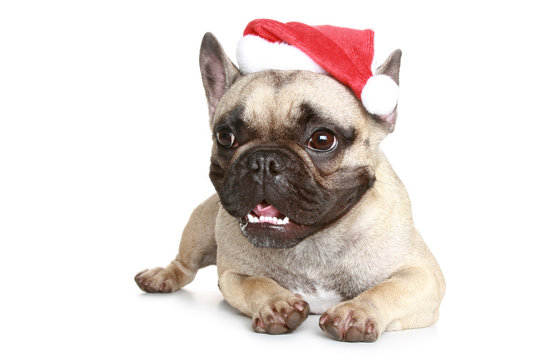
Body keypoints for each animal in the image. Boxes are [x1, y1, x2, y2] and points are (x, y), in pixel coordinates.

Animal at [134, 29, 442, 342]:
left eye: (322, 139)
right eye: (225, 137)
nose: (264, 161)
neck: (311, 242)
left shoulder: (424, 276)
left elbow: (388, 289)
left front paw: (357, 311)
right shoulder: (232, 274)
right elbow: (254, 283)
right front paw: (275, 303)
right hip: (201, 227)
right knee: (184, 265)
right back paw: (161, 276)